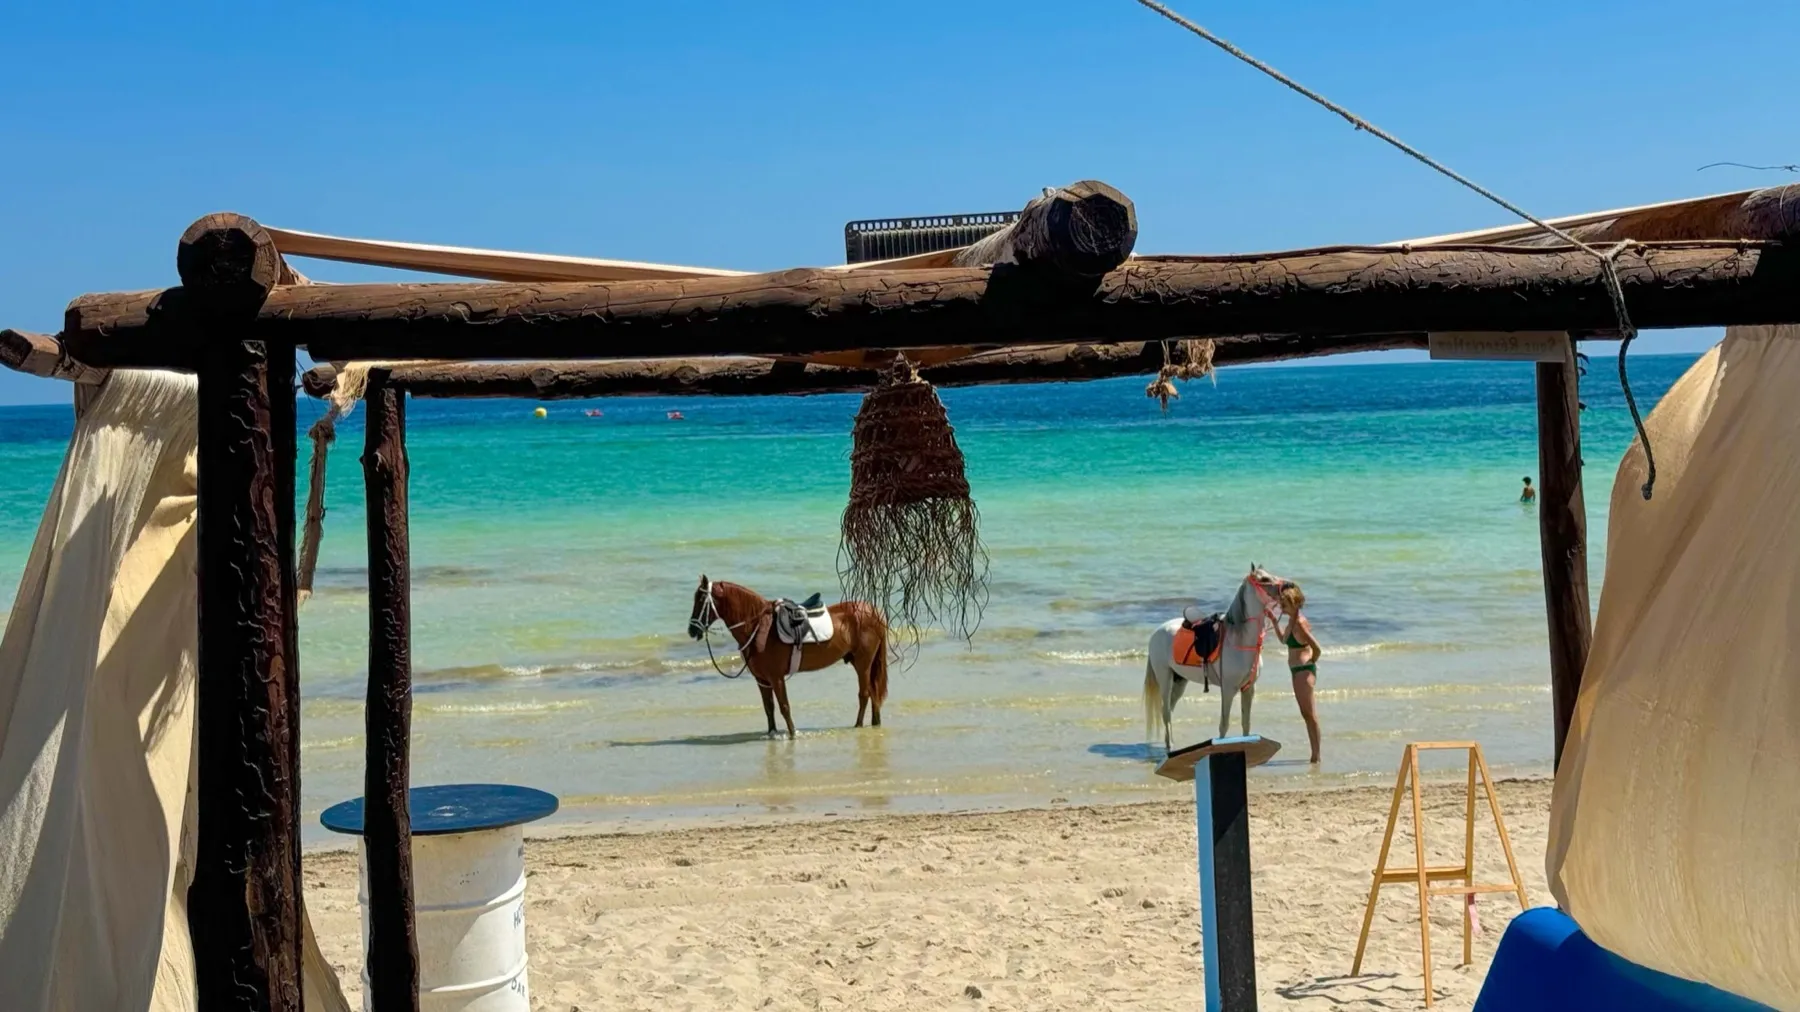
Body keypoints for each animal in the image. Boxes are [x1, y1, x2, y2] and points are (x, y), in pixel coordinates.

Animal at [687, 575, 890, 739]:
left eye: (701, 598)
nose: (692, 630)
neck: (759, 627)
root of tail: (874, 611)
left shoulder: (776, 678)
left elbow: (784, 706)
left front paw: (792, 735)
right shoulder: (762, 680)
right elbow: (769, 708)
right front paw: (772, 734)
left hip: (863, 664)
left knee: (864, 694)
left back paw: (858, 726)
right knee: (873, 693)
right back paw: (875, 723)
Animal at [1143, 566, 1285, 753]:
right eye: (1263, 579)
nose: (1288, 587)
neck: (1239, 640)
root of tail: (1156, 632)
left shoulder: (1249, 689)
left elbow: (1246, 723)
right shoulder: (1228, 689)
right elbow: (1224, 724)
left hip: (1180, 680)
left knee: (1168, 710)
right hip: (1165, 678)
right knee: (1166, 711)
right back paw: (1169, 747)